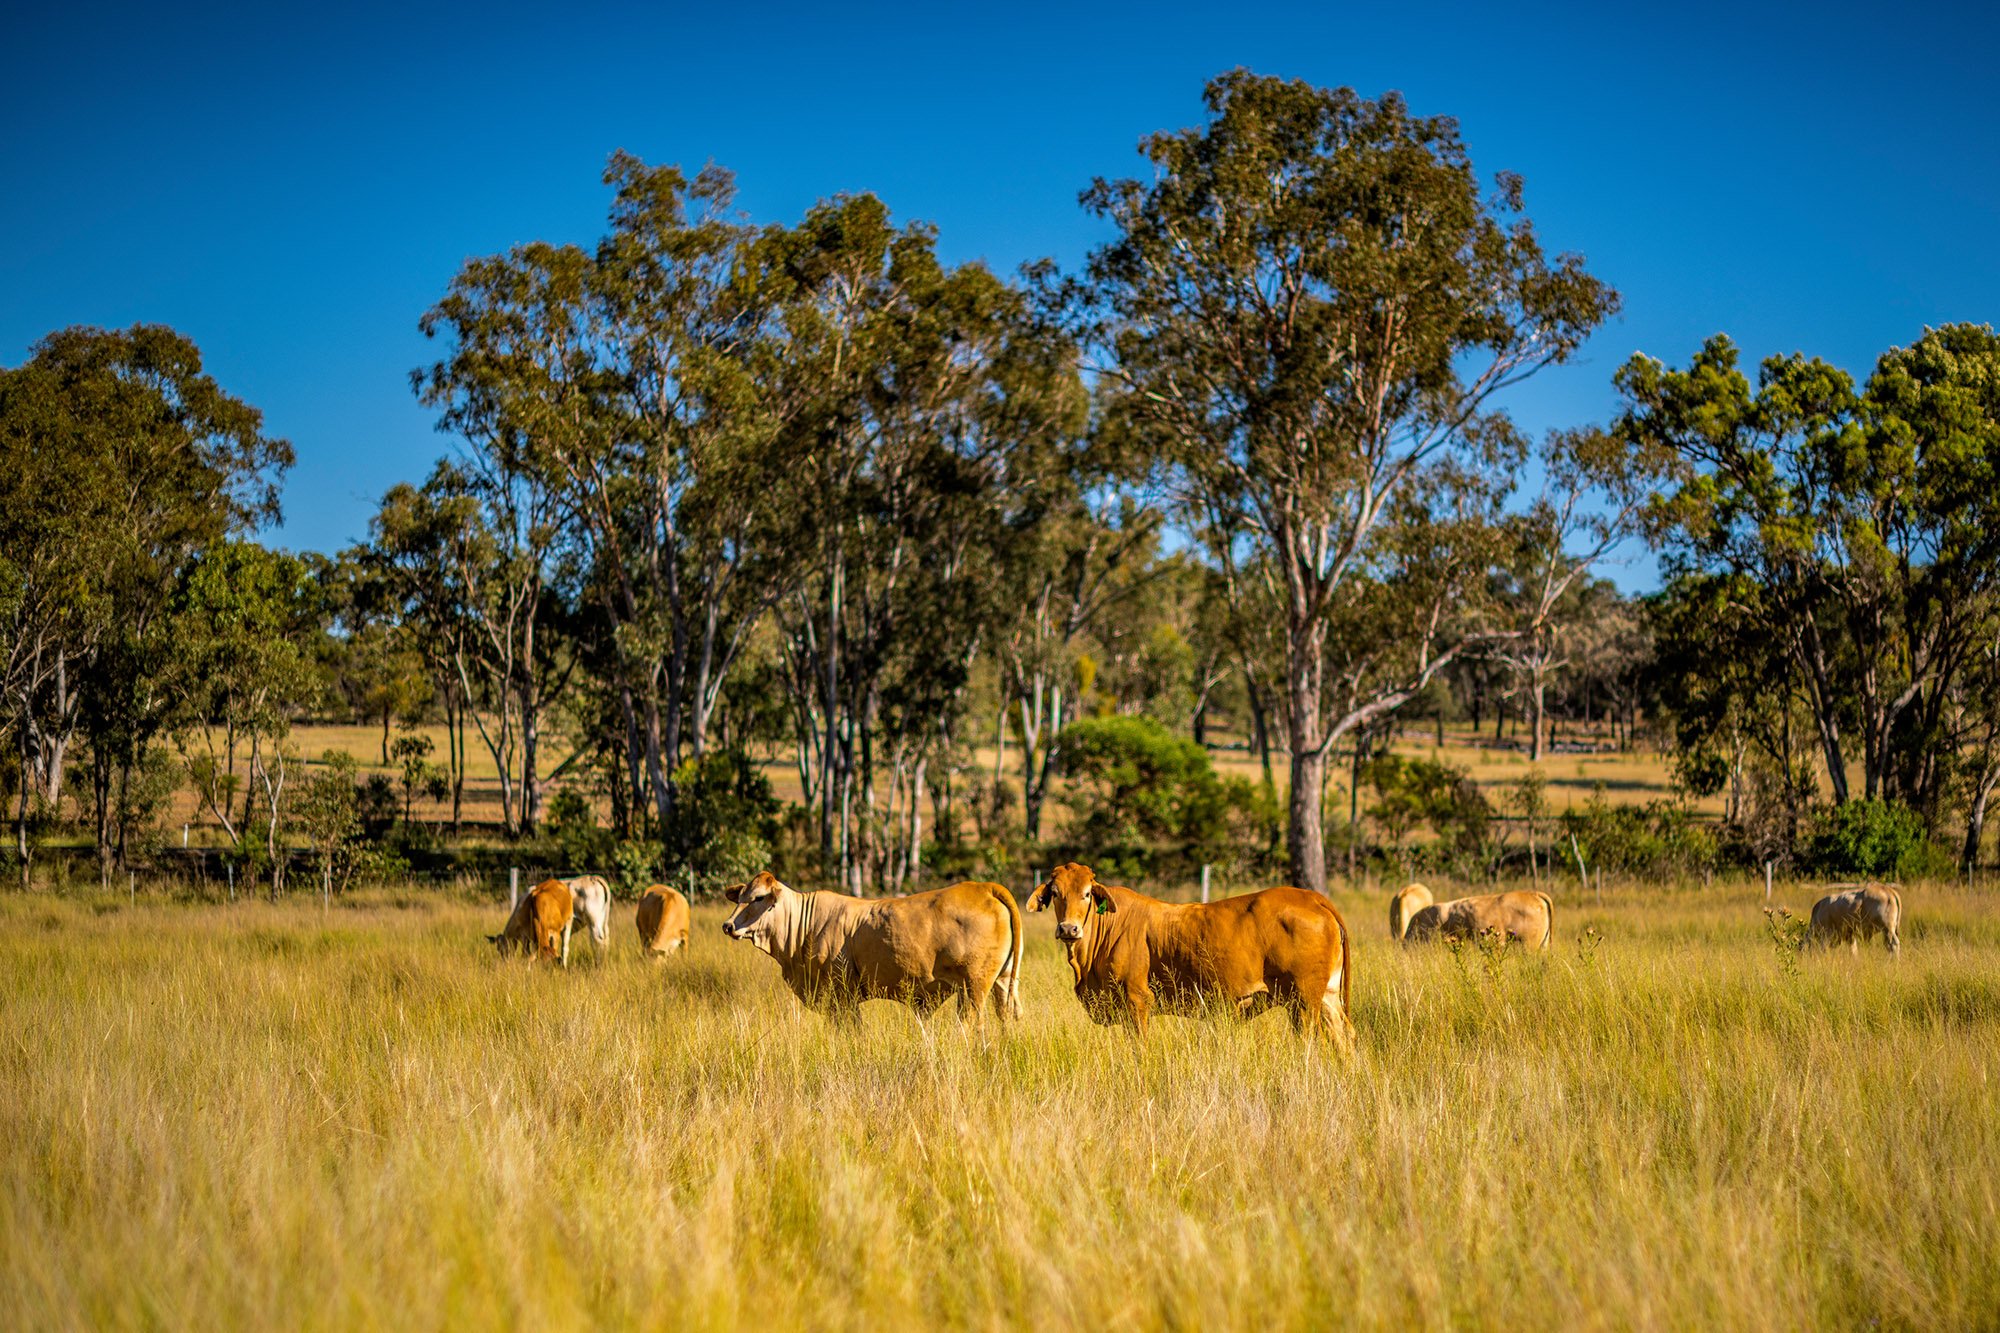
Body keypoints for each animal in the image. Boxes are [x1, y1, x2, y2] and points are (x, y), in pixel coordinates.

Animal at [719, 872, 1023, 1026]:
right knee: (1006, 1016)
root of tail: (984, 887)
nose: (728, 926)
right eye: (740, 897)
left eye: (758, 898)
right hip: (1003, 981)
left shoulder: (841, 996)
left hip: (974, 986)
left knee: (971, 1021)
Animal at [1025, 862, 1352, 1046]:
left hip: (1304, 1000)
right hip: (1327, 996)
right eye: (1056, 893)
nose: (1069, 929)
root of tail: (1311, 897)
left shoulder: (1137, 1003)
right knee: (1344, 1037)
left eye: (1087, 894)